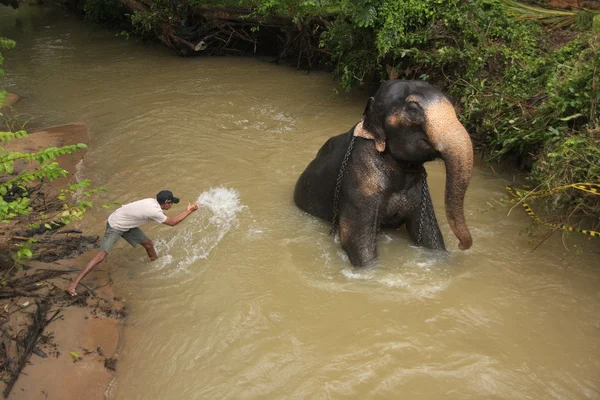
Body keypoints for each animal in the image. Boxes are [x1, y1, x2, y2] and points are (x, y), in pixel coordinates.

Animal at [294, 78, 474, 268]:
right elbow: (356, 242)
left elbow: (429, 234)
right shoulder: (359, 181)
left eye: (454, 105)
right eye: (412, 109)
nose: (461, 245)